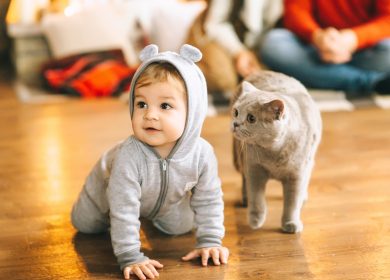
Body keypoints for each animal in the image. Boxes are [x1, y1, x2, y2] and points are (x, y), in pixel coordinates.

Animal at [232, 71, 320, 233]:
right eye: (236, 112)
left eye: (251, 118)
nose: (235, 124)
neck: (273, 153)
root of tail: (259, 71)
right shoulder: (254, 168)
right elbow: (257, 198)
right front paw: (255, 221)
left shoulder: (297, 175)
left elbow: (292, 203)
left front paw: (290, 223)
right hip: (241, 157)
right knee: (244, 179)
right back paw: (245, 198)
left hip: (309, 162)